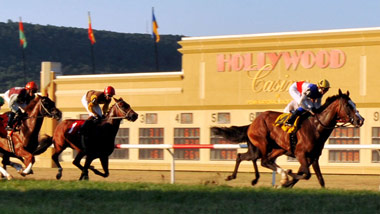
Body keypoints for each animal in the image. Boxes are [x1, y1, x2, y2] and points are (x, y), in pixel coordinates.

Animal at [212, 89, 364, 188]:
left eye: (355, 104)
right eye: (348, 105)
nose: (360, 120)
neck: (316, 126)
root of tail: (252, 123)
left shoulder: (313, 157)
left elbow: (319, 179)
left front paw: (287, 182)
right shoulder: (301, 154)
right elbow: (306, 175)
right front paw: (288, 177)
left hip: (274, 148)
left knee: (251, 158)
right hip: (262, 144)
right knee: (261, 160)